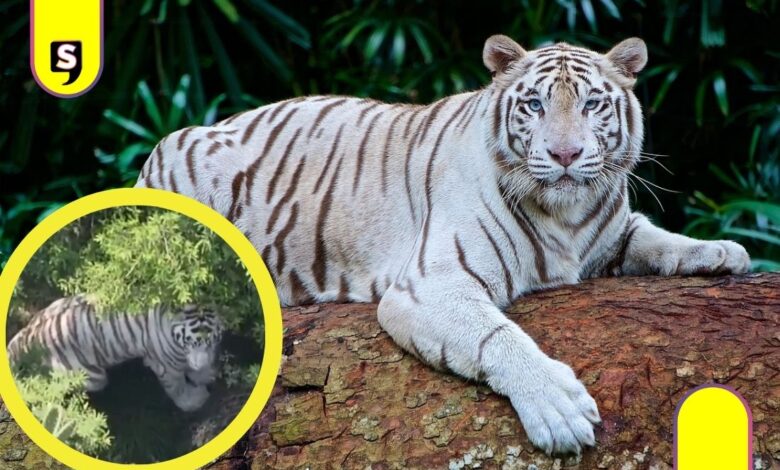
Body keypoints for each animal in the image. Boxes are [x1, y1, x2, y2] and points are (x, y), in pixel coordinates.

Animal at [7, 296, 224, 412]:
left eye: (211, 340)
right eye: (190, 342)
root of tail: (27, 336)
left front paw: (206, 374)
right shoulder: (167, 365)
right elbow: (177, 387)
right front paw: (194, 401)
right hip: (92, 377)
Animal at [135, 35, 750, 453]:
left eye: (592, 105)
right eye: (534, 105)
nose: (566, 155)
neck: (568, 218)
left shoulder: (610, 234)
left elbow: (654, 236)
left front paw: (722, 251)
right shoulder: (432, 285)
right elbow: (497, 337)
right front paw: (558, 410)